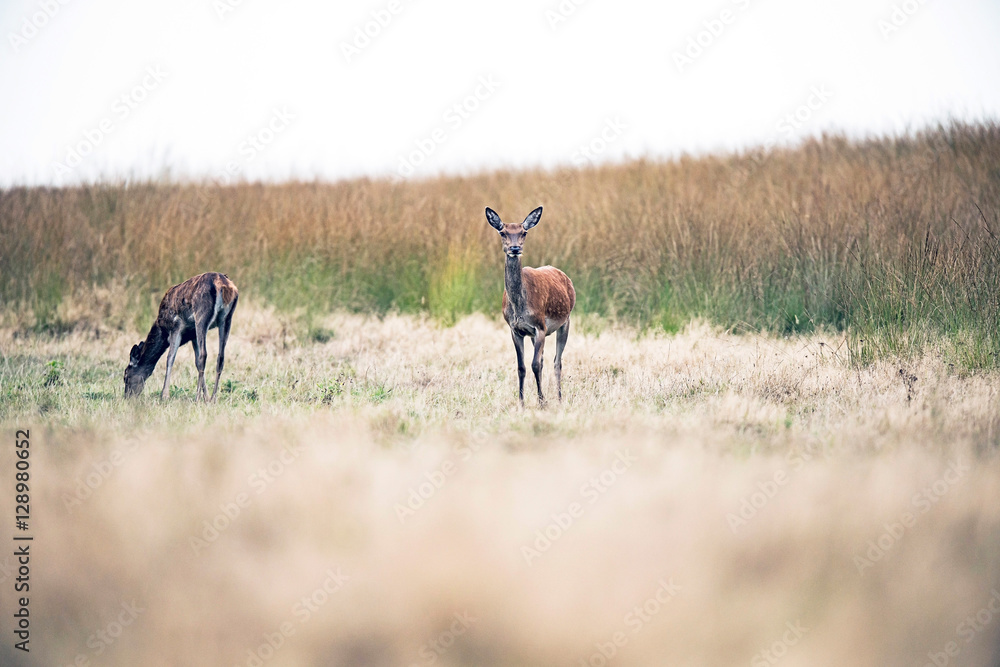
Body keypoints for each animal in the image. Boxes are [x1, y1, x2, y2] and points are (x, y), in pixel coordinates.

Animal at [123, 272, 239, 402]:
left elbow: (170, 358)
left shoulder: (176, 327)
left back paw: (197, 398)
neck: (162, 328)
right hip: (227, 318)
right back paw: (213, 398)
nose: (127, 397)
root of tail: (223, 285)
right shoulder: (193, 335)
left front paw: (164, 395)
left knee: (203, 355)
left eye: (125, 375)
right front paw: (207, 397)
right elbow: (196, 362)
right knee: (220, 357)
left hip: (201, 315)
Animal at [486, 206, 576, 407]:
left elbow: (535, 364)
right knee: (543, 360)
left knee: (557, 361)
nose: (515, 248)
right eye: (502, 232)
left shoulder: (540, 326)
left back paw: (559, 398)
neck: (520, 307)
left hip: (565, 321)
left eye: (524, 232)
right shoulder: (515, 329)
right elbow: (522, 366)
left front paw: (542, 402)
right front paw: (522, 402)